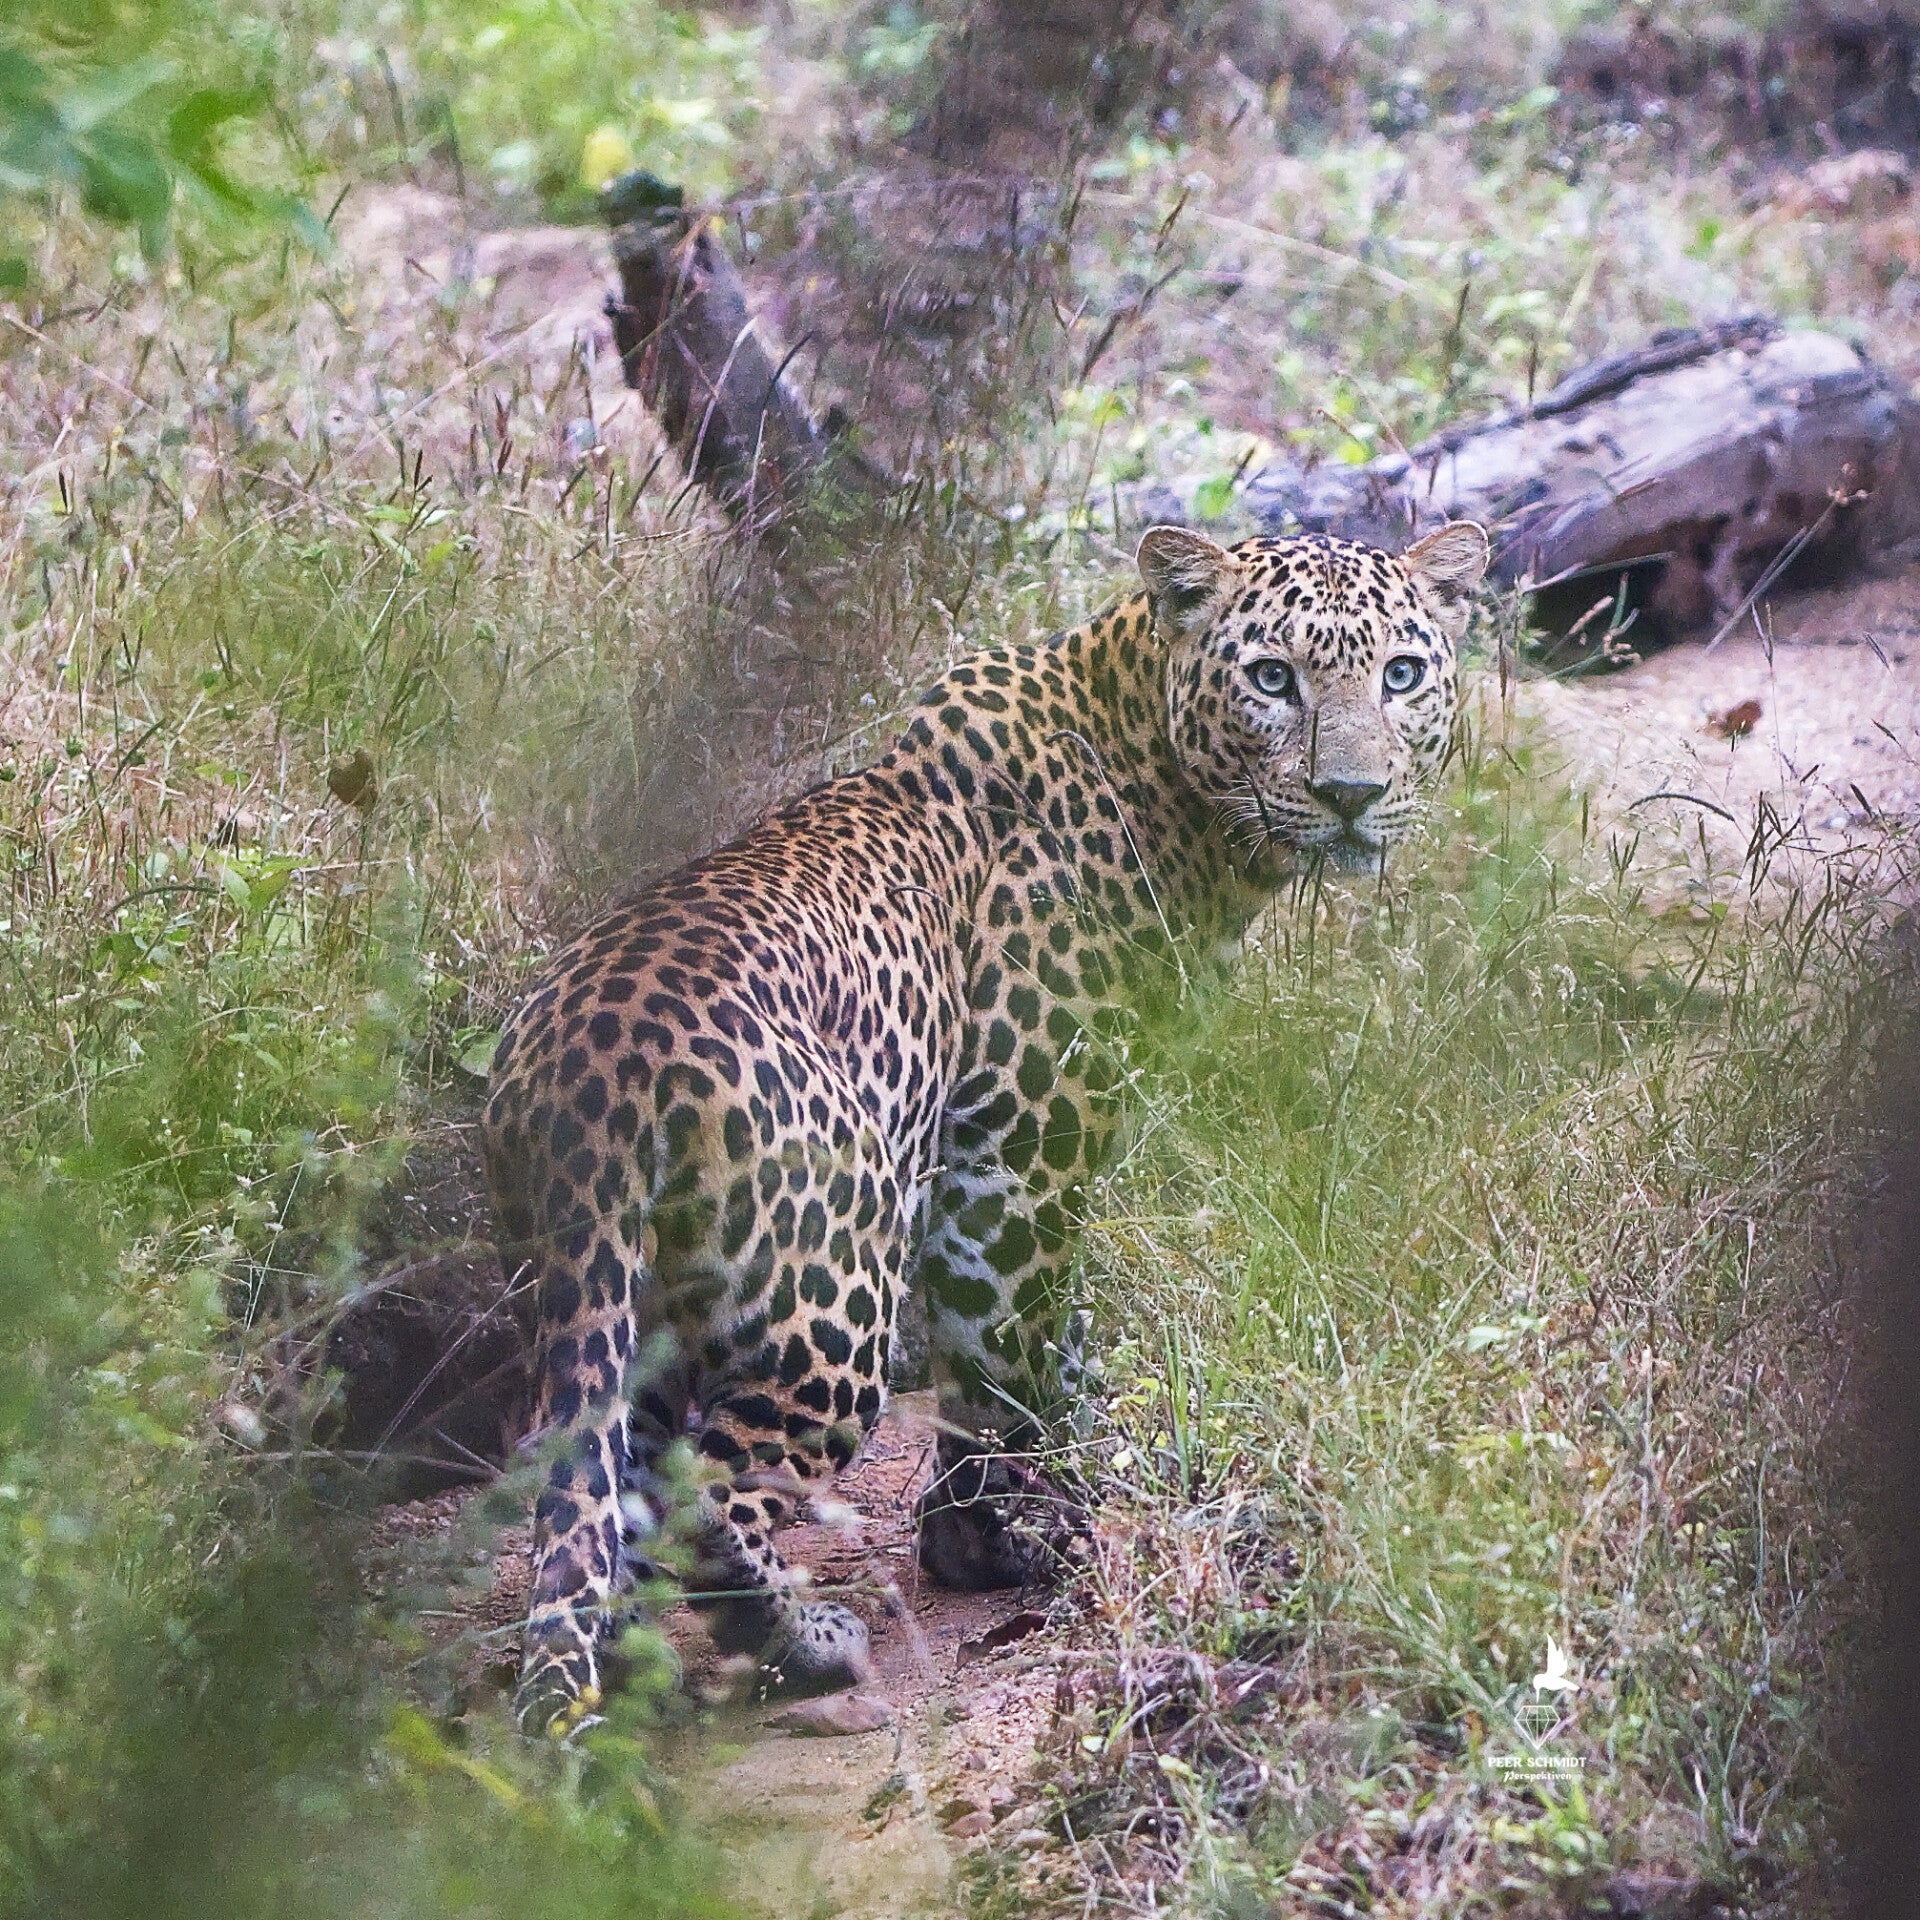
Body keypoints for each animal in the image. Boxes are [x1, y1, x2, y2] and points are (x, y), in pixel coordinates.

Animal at [482, 518, 1489, 1736]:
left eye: (1402, 673)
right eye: (1272, 678)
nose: (1349, 792)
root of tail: (594, 1070)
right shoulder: (1017, 1156)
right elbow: (1004, 1363)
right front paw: (1004, 1534)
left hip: (617, 1302)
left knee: (612, 1504)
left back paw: (639, 1676)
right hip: (832, 1299)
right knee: (703, 1492)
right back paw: (806, 1643)